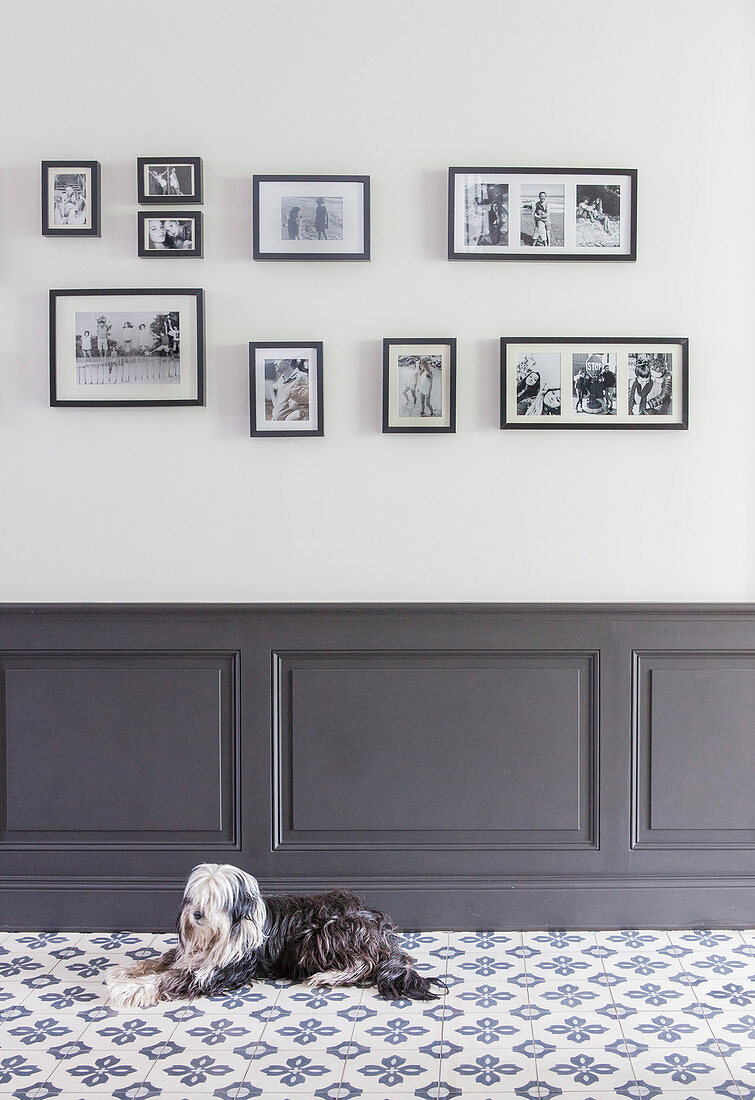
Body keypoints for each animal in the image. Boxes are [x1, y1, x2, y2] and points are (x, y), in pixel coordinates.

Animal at [106, 862, 444, 1007]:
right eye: (196, 897)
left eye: (217, 899)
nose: (197, 915)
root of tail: (379, 927)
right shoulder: (191, 955)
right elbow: (161, 960)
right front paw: (125, 971)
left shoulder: (220, 972)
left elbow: (169, 979)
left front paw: (130, 990)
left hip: (324, 933)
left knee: (365, 964)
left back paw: (328, 976)